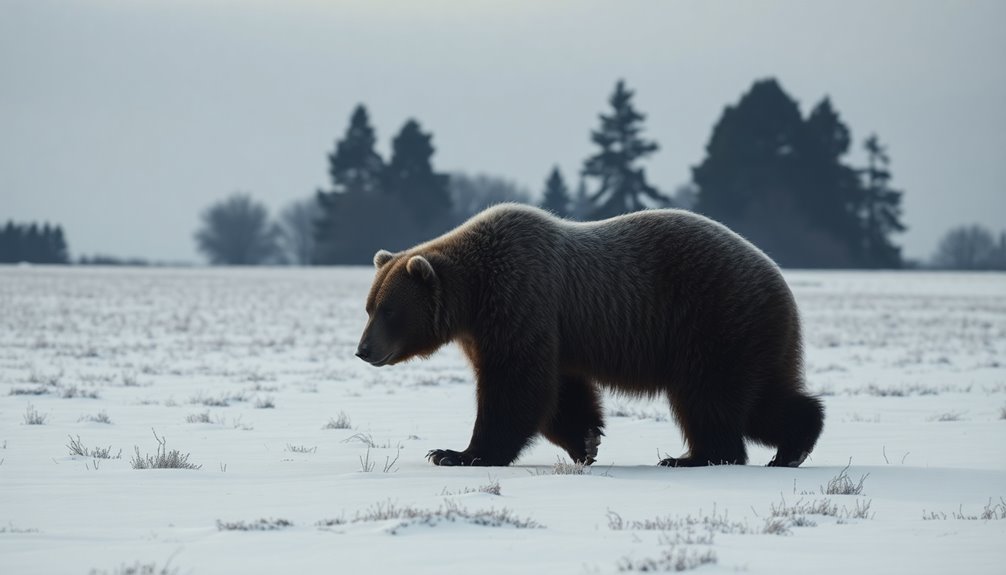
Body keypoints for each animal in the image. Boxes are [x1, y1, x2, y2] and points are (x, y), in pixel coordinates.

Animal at [358, 204, 820, 468]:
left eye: (389, 311)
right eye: (369, 306)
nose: (363, 350)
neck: (474, 296)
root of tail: (780, 279)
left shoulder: (521, 303)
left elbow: (515, 388)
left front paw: (456, 454)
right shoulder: (543, 331)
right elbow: (561, 391)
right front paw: (586, 442)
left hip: (713, 320)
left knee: (710, 398)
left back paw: (695, 457)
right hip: (751, 337)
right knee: (761, 401)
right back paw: (793, 445)